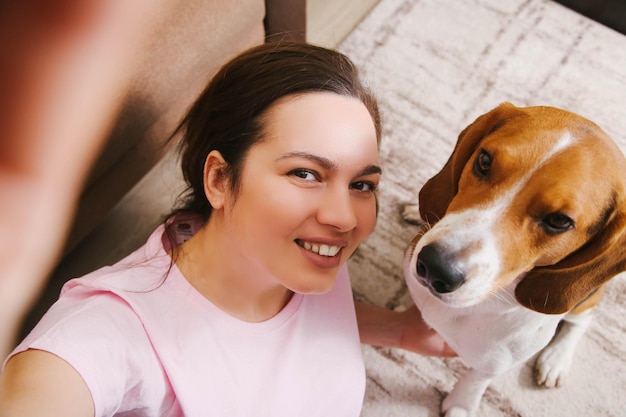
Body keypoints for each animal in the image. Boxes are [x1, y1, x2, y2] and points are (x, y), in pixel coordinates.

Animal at [400, 101, 624, 416]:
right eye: (484, 161)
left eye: (559, 221)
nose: (434, 267)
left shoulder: (494, 362)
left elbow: (476, 380)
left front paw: (460, 405)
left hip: (583, 299)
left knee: (582, 319)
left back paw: (556, 359)